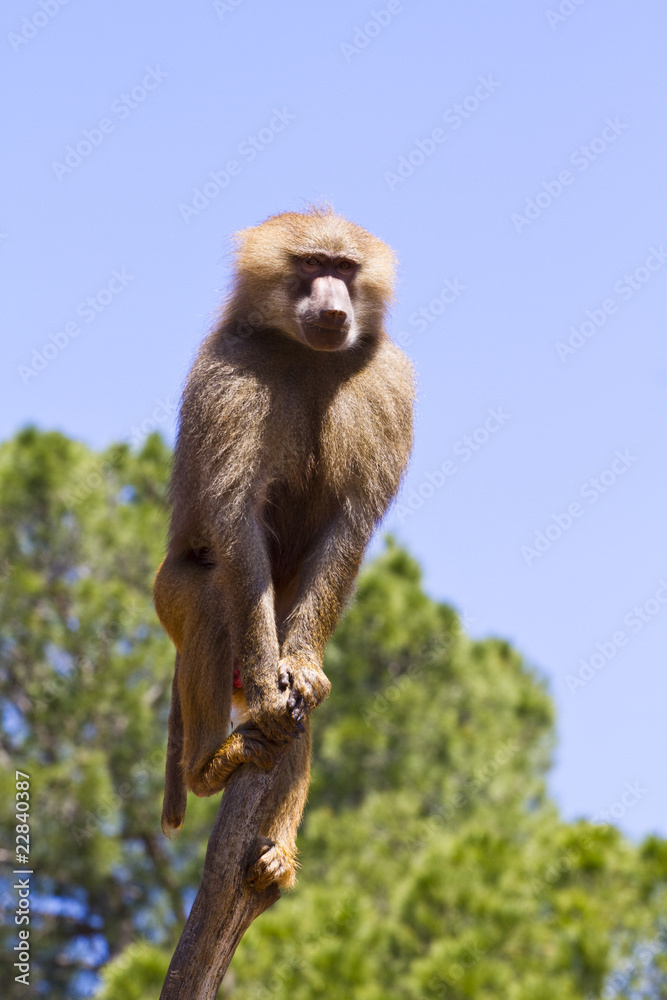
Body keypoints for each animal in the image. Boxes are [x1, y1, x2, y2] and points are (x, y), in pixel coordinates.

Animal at [153, 206, 414, 890]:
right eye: (311, 265)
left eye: (344, 268)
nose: (334, 308)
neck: (306, 355)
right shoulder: (231, 373)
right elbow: (235, 518)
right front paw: (274, 694)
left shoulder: (388, 384)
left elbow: (349, 526)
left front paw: (299, 671)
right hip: (172, 598)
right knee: (212, 603)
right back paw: (209, 767)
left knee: (307, 701)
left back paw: (277, 850)